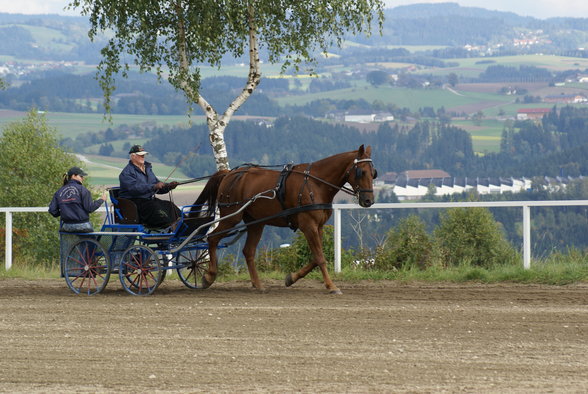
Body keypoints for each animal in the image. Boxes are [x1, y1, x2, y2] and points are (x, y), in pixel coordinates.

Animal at [193, 144, 376, 292]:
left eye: (373, 173)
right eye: (361, 172)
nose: (369, 201)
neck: (315, 184)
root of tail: (230, 173)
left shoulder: (318, 226)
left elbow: (315, 257)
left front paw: (291, 278)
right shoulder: (308, 225)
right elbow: (319, 257)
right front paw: (331, 286)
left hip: (255, 223)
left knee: (248, 251)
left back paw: (258, 285)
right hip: (231, 217)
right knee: (212, 238)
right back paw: (209, 276)